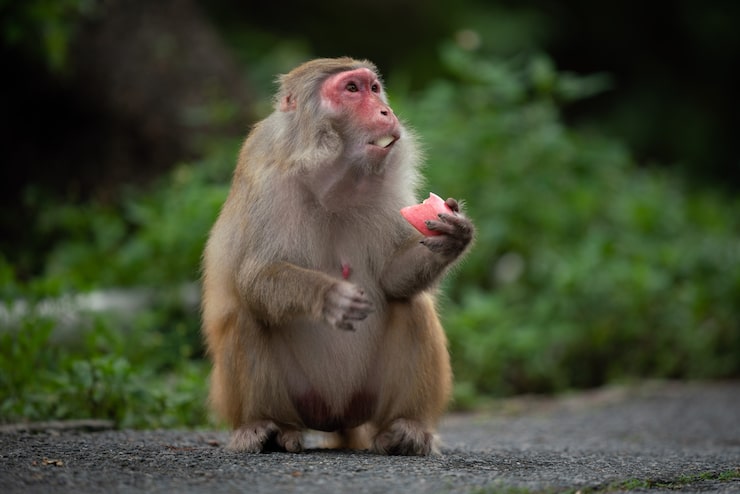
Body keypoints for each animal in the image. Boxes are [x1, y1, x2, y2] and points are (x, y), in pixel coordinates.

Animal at [201, 57, 474, 456]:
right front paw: (328, 295)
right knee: (246, 317)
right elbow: (253, 277)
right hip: (300, 397)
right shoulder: (267, 183)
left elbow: (392, 279)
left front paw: (454, 238)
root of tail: (338, 418)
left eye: (374, 88)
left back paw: (405, 428)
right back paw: (265, 427)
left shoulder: (389, 189)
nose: (386, 111)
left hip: (367, 397)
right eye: (351, 89)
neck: (330, 181)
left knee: (412, 306)